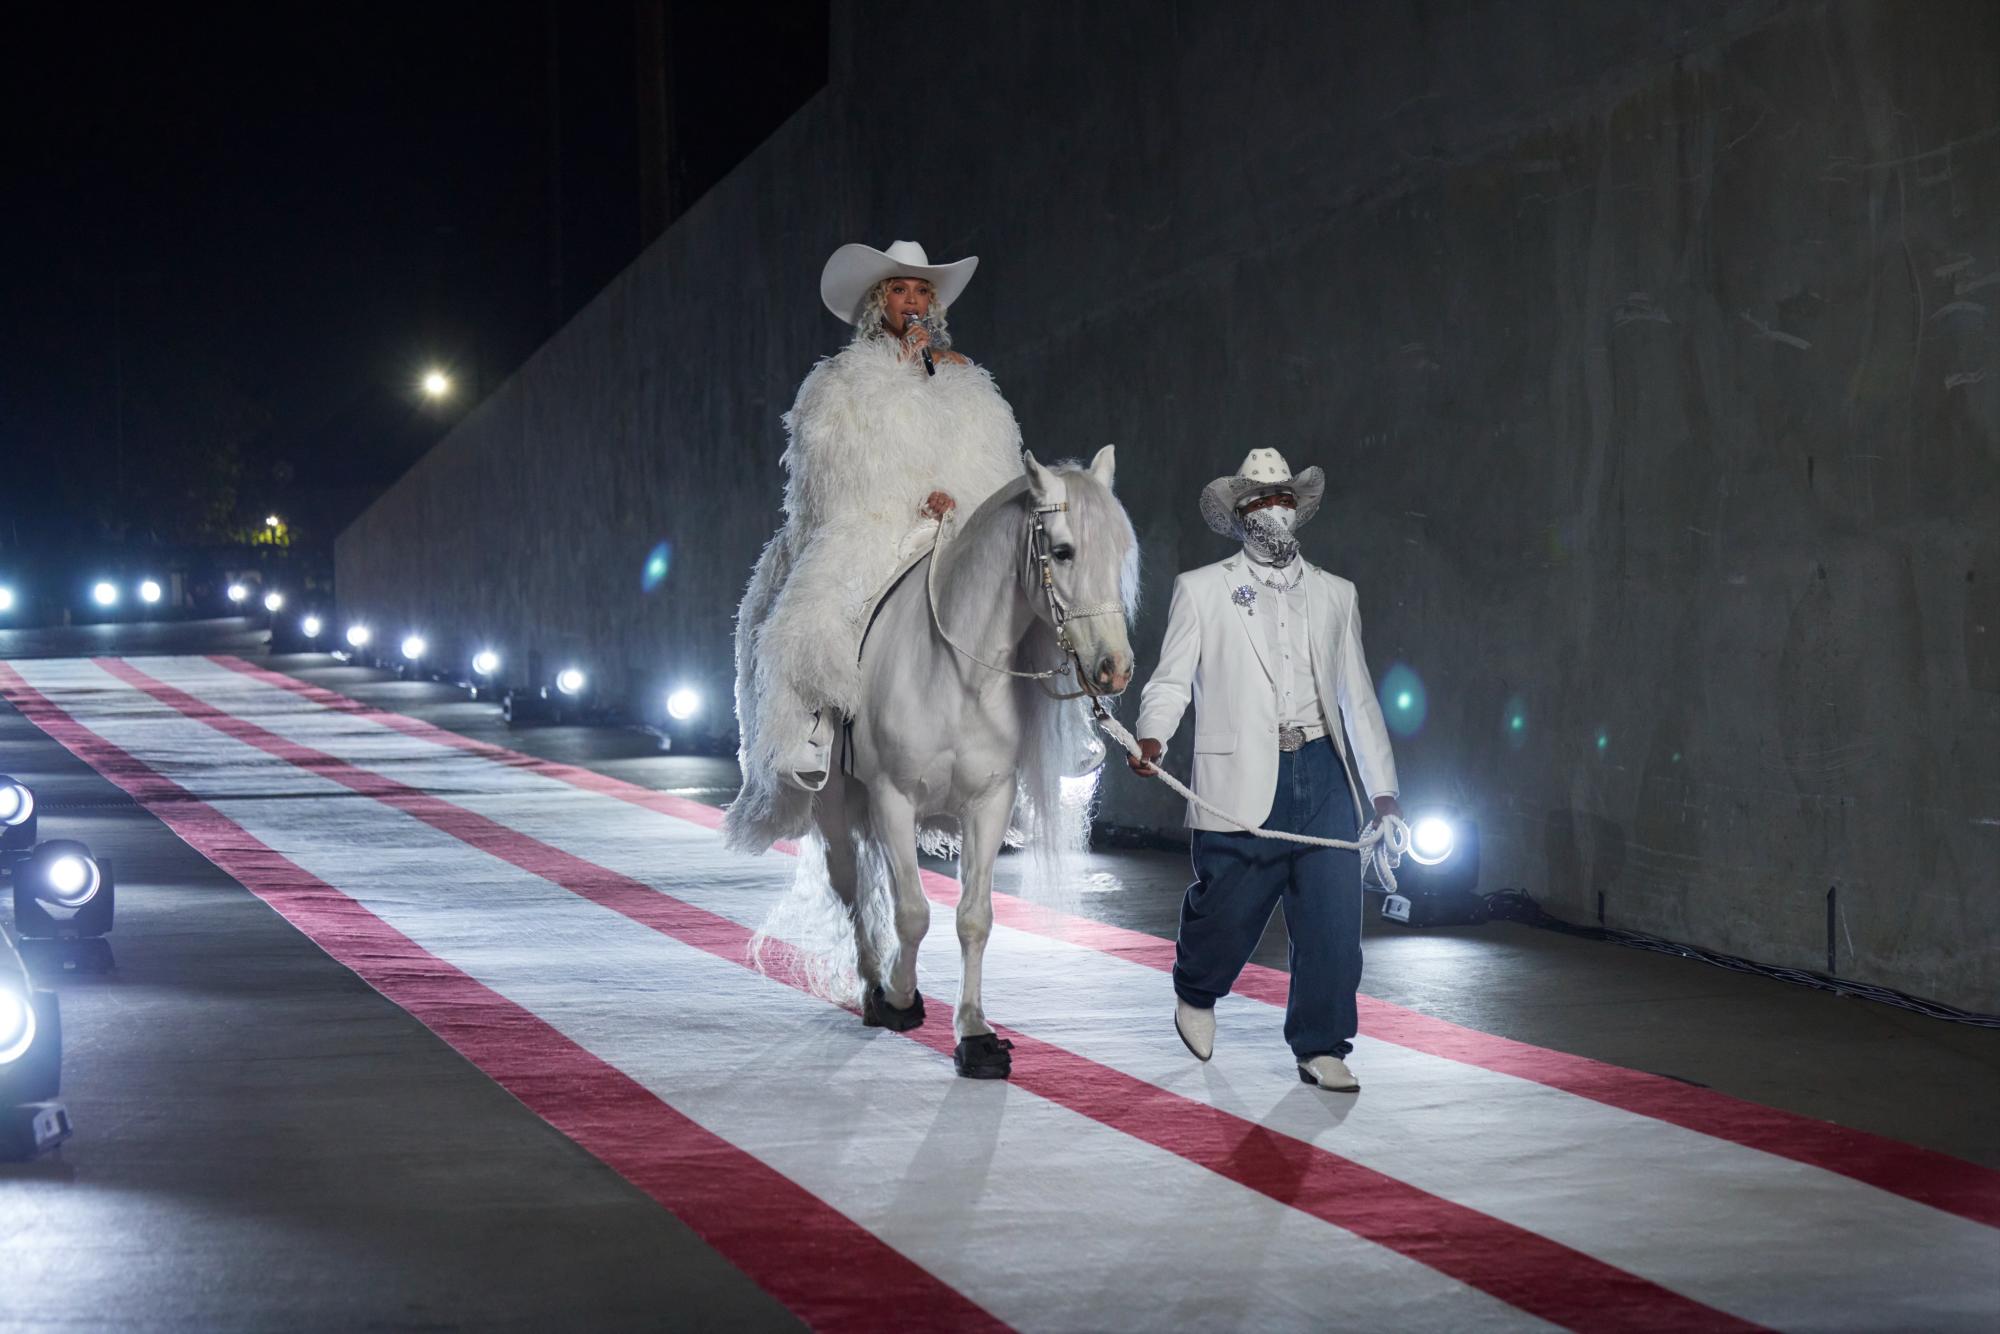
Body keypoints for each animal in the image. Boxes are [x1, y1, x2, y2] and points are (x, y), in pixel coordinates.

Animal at [804, 448, 1136, 1072]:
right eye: (1063, 551)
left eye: (1120, 552)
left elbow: (973, 917)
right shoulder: (892, 797)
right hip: (837, 802)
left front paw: (975, 1034)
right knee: (852, 884)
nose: (1114, 669)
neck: (958, 675)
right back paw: (872, 986)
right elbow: (912, 911)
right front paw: (901, 997)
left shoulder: (988, 802)